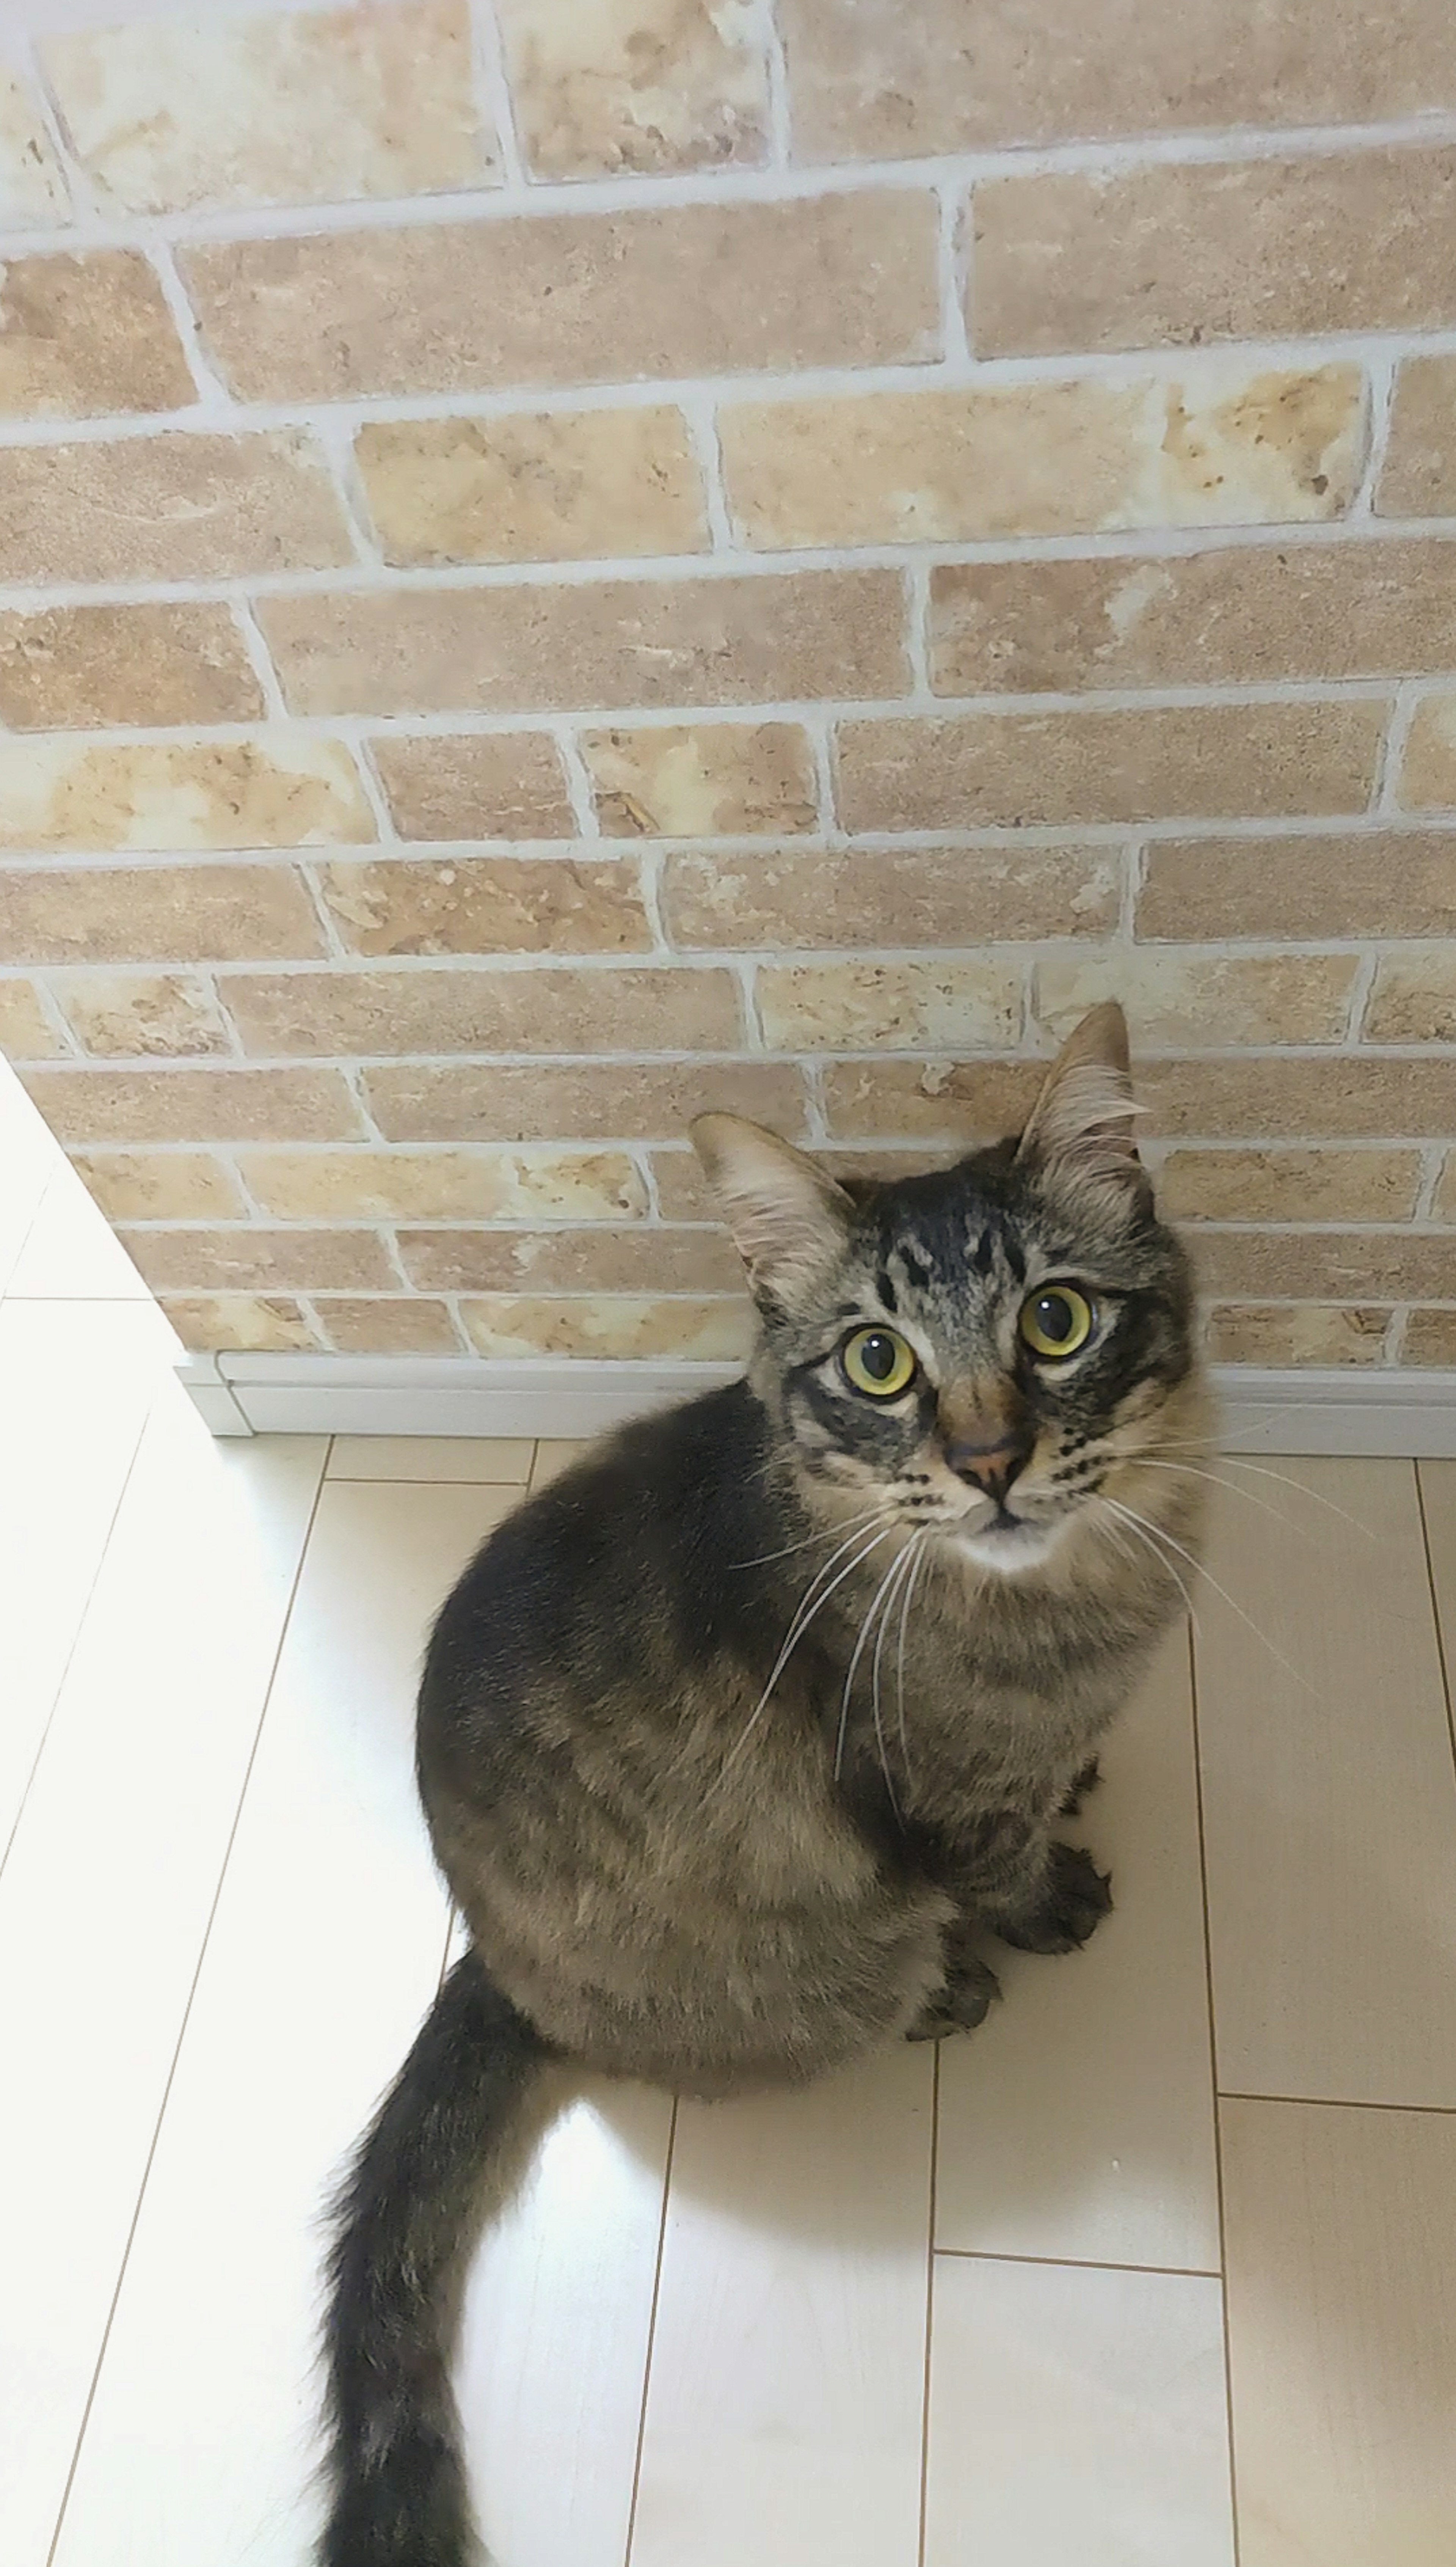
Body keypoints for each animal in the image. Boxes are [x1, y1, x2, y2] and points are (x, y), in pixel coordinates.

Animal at [318, 1001, 1207, 2567]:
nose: (990, 1460)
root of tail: (483, 1955)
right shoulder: (945, 1796)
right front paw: (1051, 1907)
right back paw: (945, 1989)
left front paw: (1083, 1785)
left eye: (1056, 1322)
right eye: (878, 1363)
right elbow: (1002, 1861)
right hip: (818, 1972)